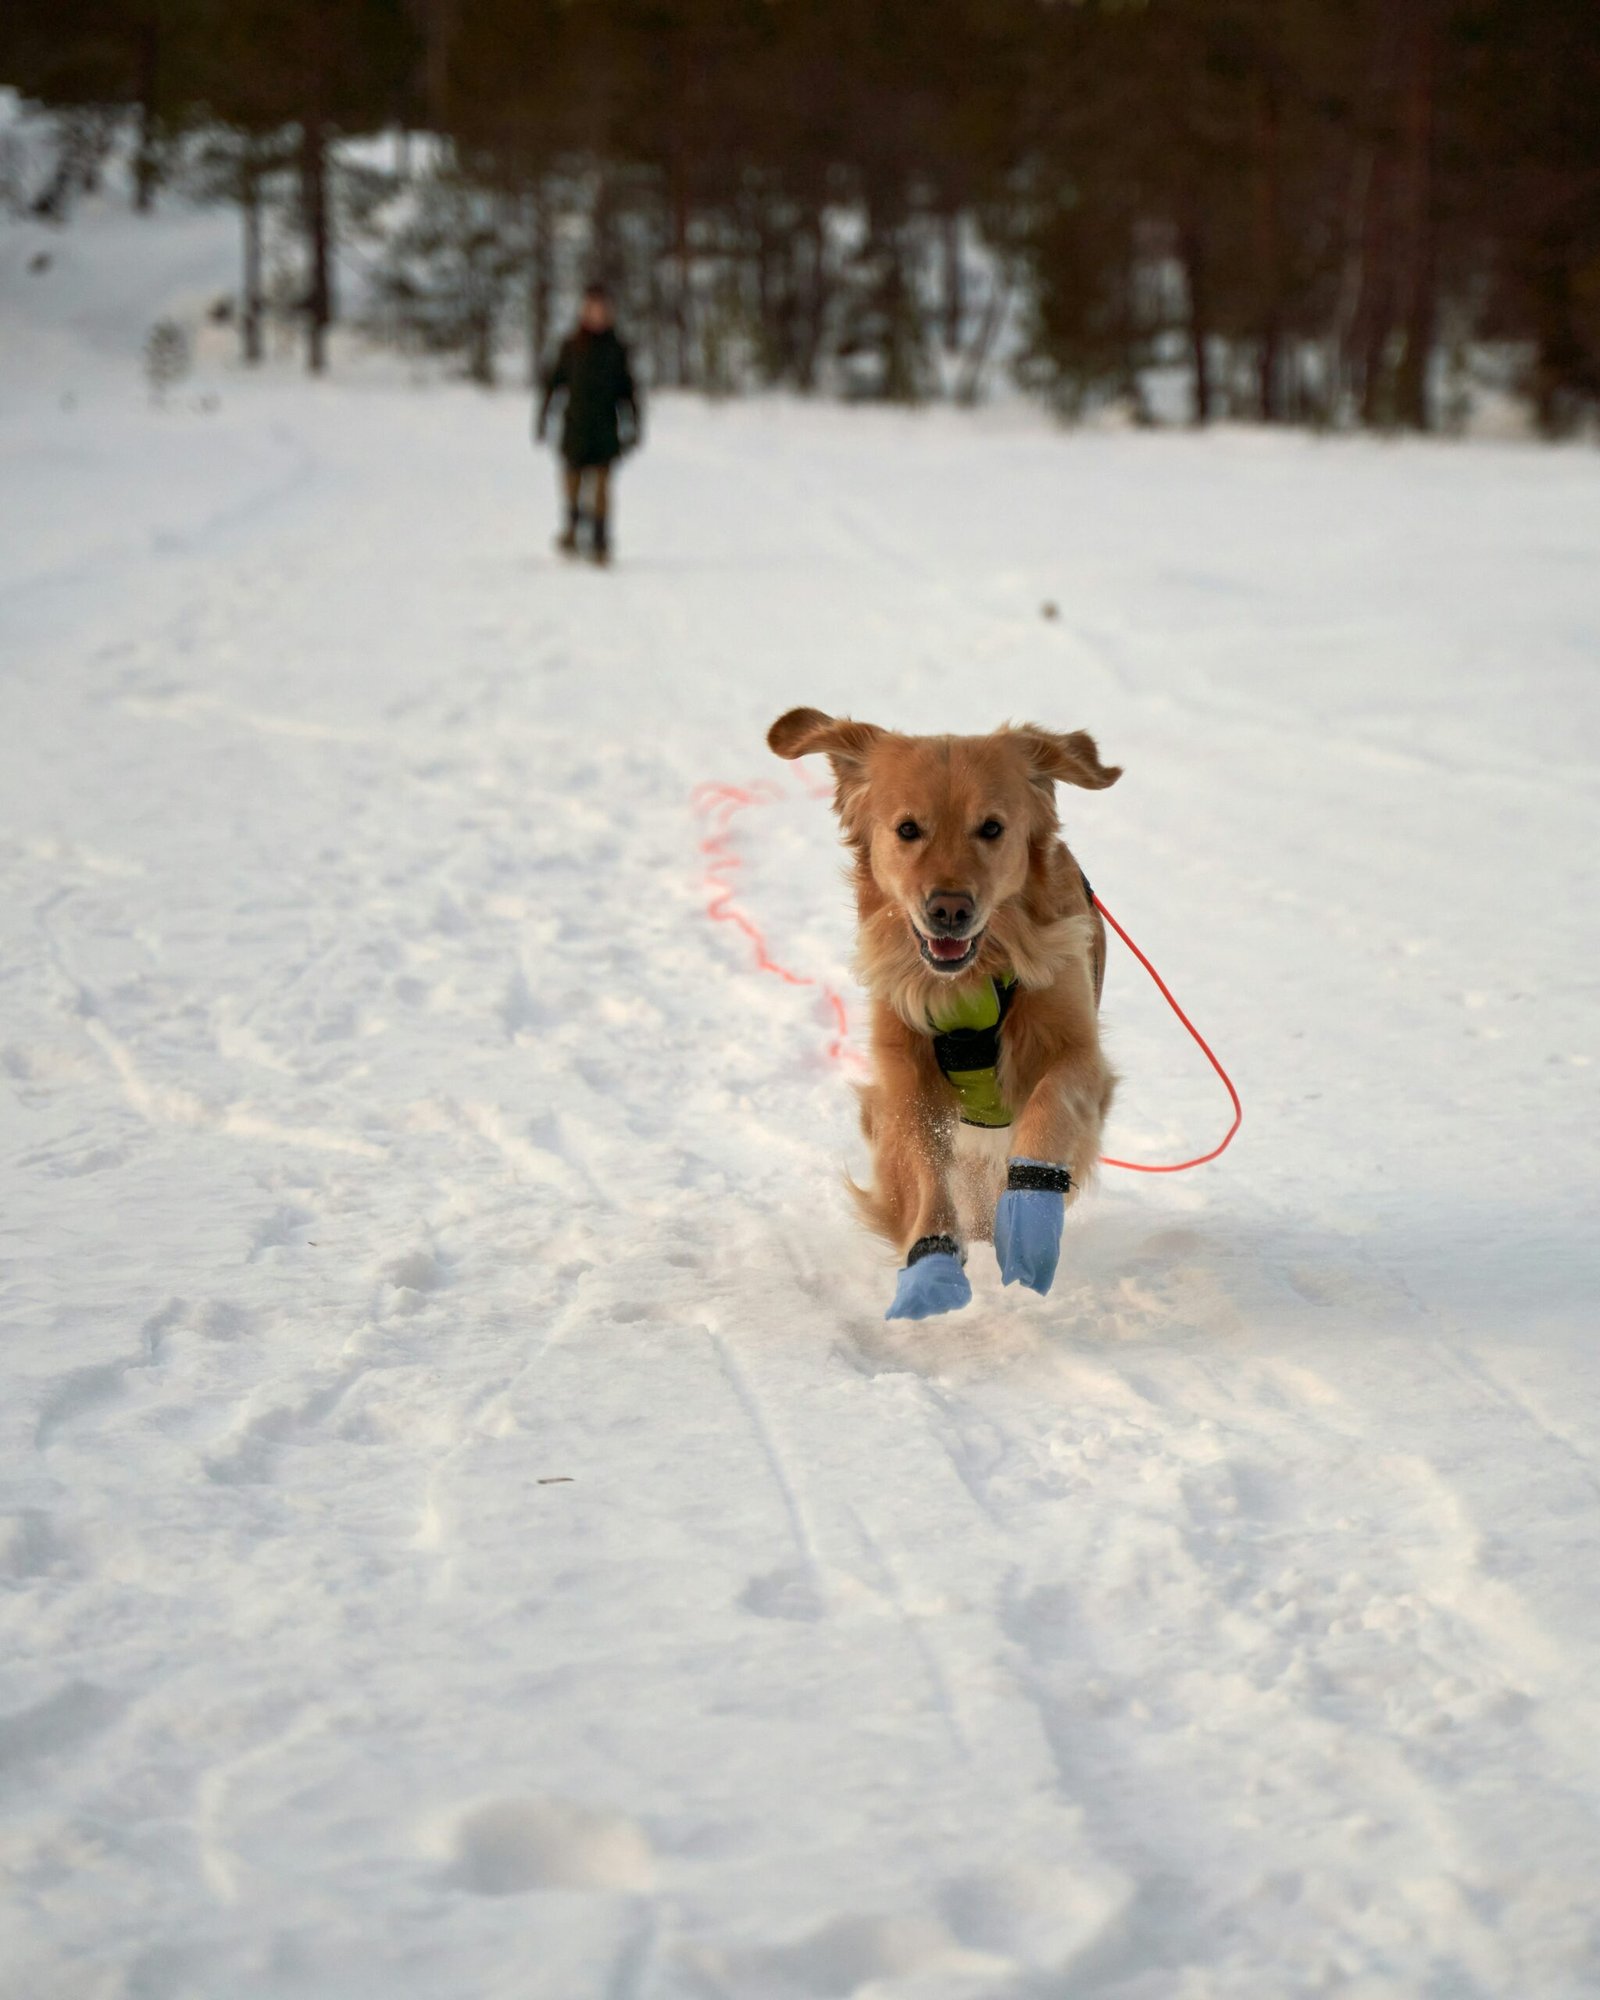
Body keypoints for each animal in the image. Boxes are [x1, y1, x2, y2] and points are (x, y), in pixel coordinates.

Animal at [768, 712, 1120, 1320]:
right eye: (909, 829)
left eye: (992, 828)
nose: (949, 909)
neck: (970, 983)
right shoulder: (903, 1073)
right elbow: (922, 1164)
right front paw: (931, 1268)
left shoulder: (1076, 1051)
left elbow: (1049, 1110)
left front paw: (1029, 1223)